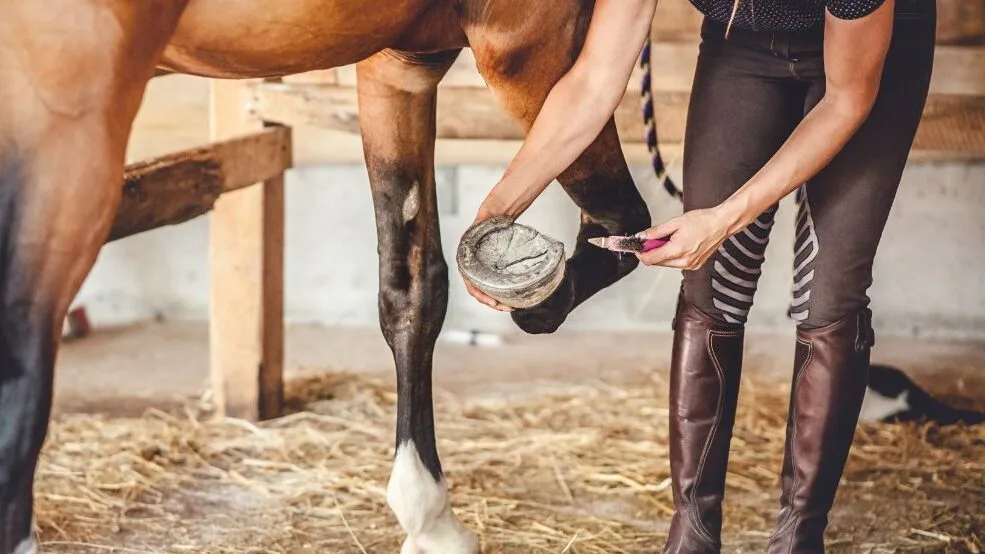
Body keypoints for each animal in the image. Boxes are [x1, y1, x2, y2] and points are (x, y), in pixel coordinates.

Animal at [0, 1, 671, 552]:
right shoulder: (530, 40)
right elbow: (619, 223)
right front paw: (542, 300)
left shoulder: (400, 64)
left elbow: (413, 287)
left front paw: (427, 518)